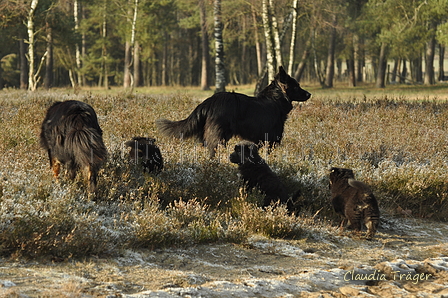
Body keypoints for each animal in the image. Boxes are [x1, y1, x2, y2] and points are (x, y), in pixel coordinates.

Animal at [156, 66, 310, 157]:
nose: (309, 94)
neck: (276, 99)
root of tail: (209, 102)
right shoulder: (272, 139)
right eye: (296, 86)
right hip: (219, 136)